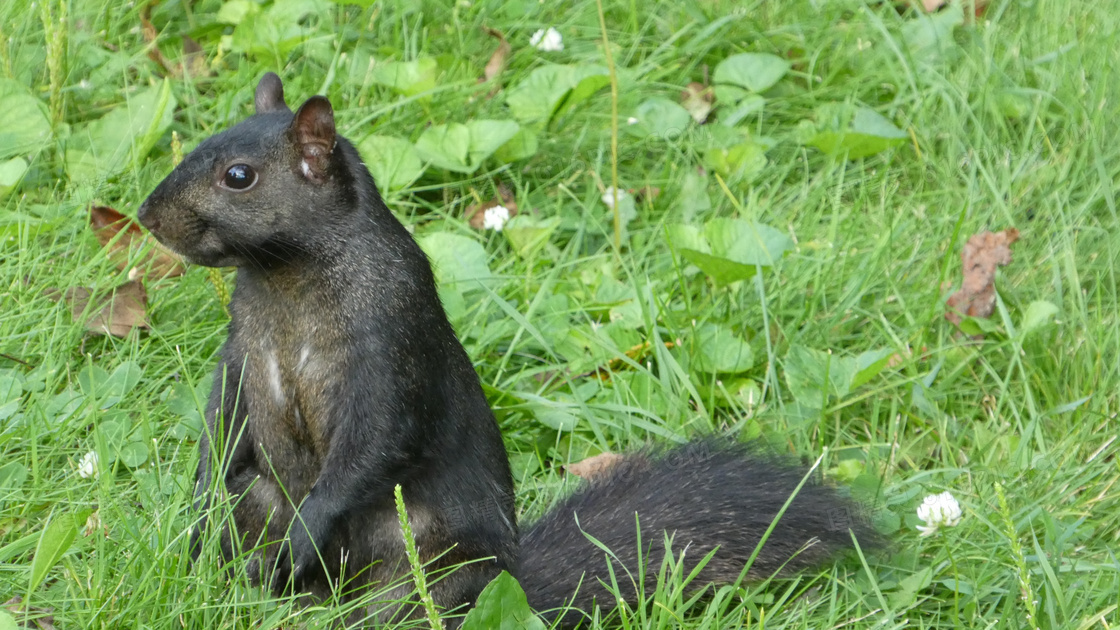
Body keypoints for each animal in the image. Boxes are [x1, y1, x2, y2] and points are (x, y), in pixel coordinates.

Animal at [137, 73, 873, 623]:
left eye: (238, 176)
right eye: (202, 141)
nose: (146, 215)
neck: (284, 281)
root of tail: (515, 592)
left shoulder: (389, 350)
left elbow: (371, 447)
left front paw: (304, 534)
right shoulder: (242, 352)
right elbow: (221, 423)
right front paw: (196, 507)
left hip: (432, 565)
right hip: (260, 502)